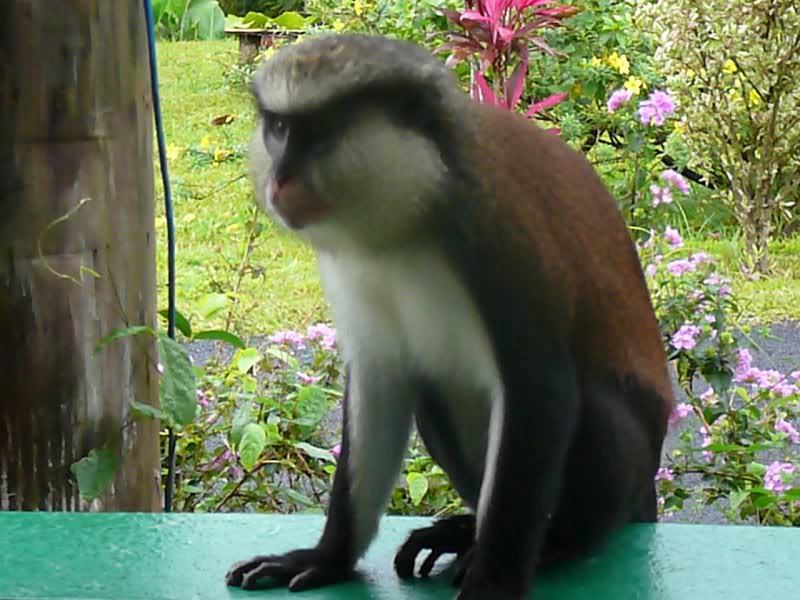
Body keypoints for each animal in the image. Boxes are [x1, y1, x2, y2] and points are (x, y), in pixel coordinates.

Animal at [225, 33, 675, 599]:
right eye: (281, 128)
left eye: (322, 131)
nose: (281, 180)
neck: (405, 215)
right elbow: (381, 381)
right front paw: (328, 558)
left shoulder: (494, 237)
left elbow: (541, 387)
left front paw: (493, 582)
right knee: (435, 389)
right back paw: (464, 530)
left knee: (591, 411)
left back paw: (554, 543)